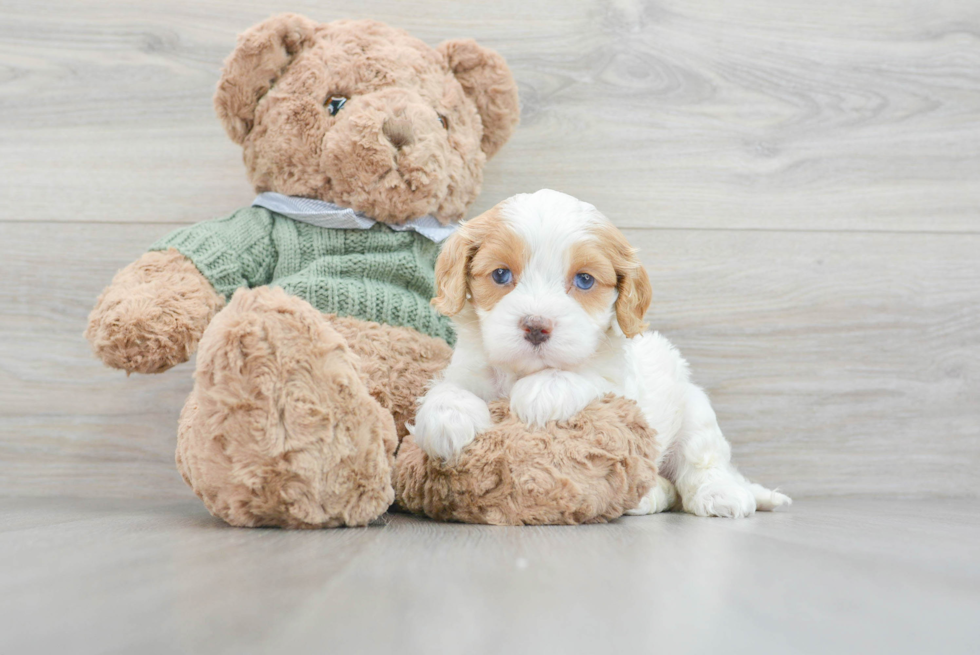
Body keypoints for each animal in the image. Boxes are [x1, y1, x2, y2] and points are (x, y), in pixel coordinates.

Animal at [410, 188, 792, 516]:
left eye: (584, 280)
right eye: (501, 274)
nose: (536, 326)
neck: (522, 369)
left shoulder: (621, 388)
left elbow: (586, 377)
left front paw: (543, 390)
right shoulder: (467, 369)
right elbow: (446, 389)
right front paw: (449, 420)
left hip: (695, 413)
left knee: (704, 462)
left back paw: (721, 495)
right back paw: (649, 497)